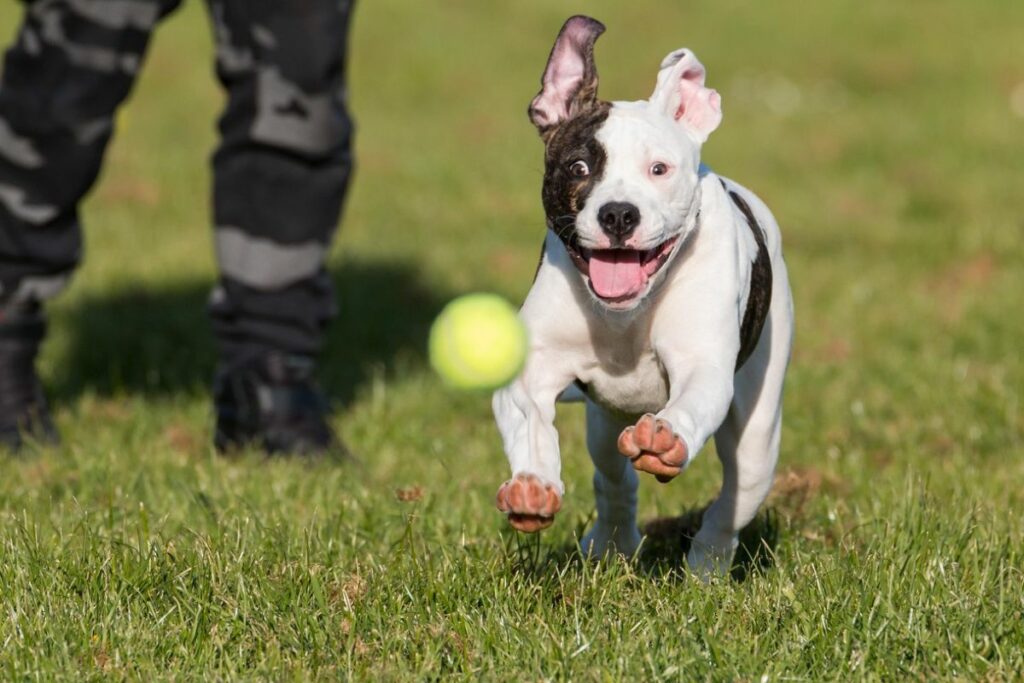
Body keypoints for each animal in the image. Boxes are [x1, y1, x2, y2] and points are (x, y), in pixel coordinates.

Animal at [491, 14, 794, 577]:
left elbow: (692, 399)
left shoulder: (703, 364)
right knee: (613, 478)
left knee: (735, 497)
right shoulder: (532, 369)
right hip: (603, 422)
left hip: (759, 432)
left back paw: (707, 566)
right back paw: (611, 541)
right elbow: (529, 418)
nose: (617, 214)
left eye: (659, 169)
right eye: (579, 168)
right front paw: (533, 485)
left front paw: (665, 437)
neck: (625, 316)